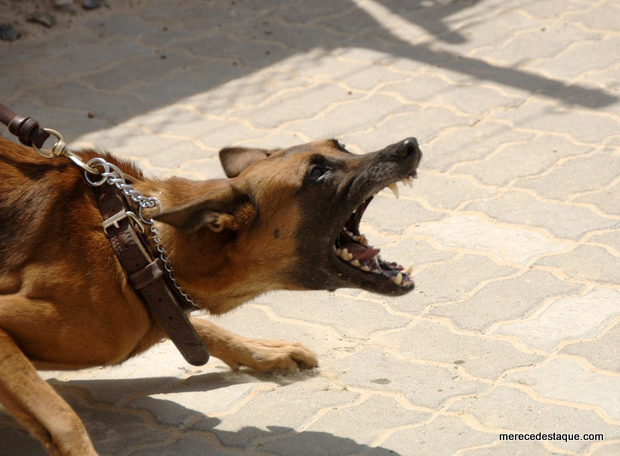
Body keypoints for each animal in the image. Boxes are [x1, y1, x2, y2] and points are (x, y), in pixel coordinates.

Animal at [0, 134, 422, 454]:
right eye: (317, 173)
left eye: (342, 146)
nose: (409, 146)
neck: (136, 243)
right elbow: (64, 420)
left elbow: (199, 327)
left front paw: (263, 351)